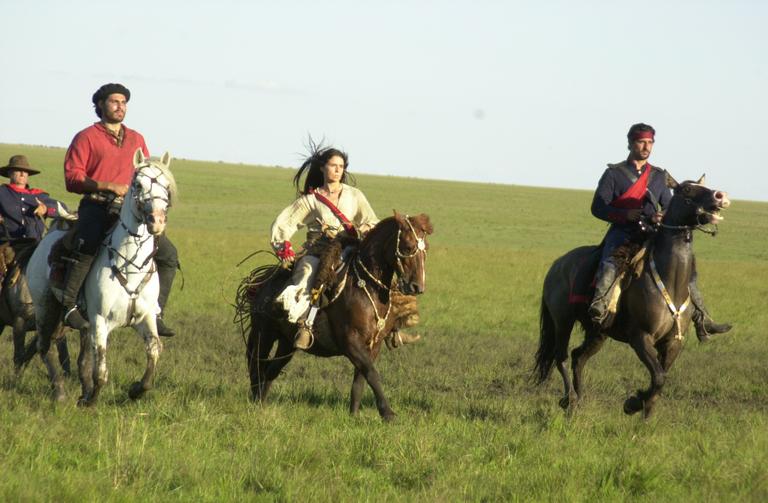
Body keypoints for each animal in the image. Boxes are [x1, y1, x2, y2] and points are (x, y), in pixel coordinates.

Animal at [28, 148, 176, 404]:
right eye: (138, 184)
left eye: (166, 186)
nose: (157, 221)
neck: (129, 266)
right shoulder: (100, 321)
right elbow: (102, 371)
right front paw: (90, 401)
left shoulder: (145, 318)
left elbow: (154, 352)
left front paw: (136, 390)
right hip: (45, 308)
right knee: (45, 346)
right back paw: (60, 392)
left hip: (79, 322)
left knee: (80, 358)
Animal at [237, 213, 436, 422]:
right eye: (408, 247)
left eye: (426, 249)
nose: (417, 286)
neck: (367, 288)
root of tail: (261, 284)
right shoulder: (350, 342)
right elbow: (372, 374)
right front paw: (387, 413)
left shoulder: (373, 345)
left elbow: (360, 379)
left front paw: (354, 414)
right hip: (264, 334)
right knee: (257, 367)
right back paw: (255, 403)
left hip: (287, 343)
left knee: (271, 370)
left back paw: (261, 403)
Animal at [536, 175, 732, 420]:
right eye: (687, 189)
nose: (720, 196)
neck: (670, 282)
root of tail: (557, 265)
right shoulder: (640, 337)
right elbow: (658, 377)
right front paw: (632, 404)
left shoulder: (673, 342)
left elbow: (660, 380)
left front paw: (645, 418)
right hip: (563, 321)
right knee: (560, 356)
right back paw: (569, 399)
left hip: (598, 332)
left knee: (577, 357)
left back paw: (578, 401)